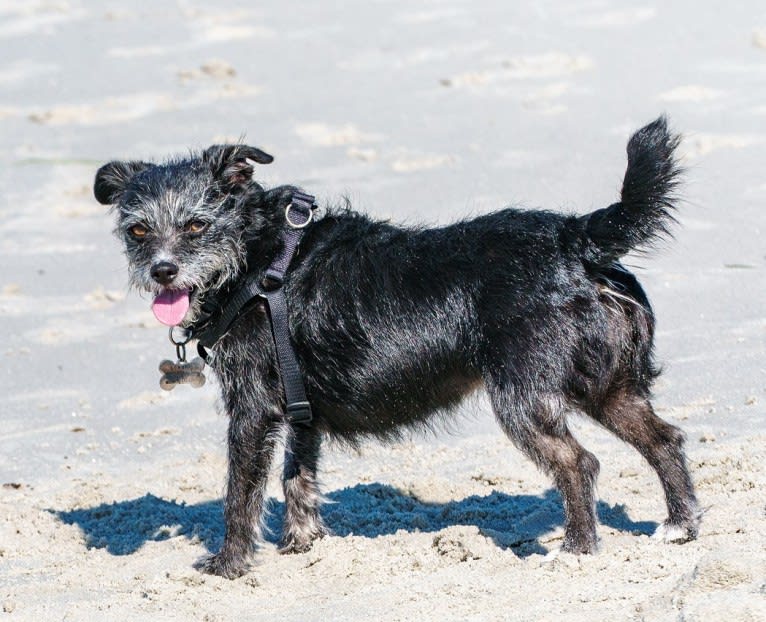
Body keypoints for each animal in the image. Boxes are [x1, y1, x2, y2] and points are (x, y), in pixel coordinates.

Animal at [94, 117, 704, 580]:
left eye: (197, 225)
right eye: (139, 231)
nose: (162, 271)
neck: (253, 257)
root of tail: (577, 236)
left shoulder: (252, 411)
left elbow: (239, 494)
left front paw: (228, 565)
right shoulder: (299, 410)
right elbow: (298, 477)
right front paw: (301, 544)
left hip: (522, 398)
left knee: (580, 462)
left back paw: (577, 548)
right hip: (608, 387)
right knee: (664, 439)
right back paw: (680, 524)